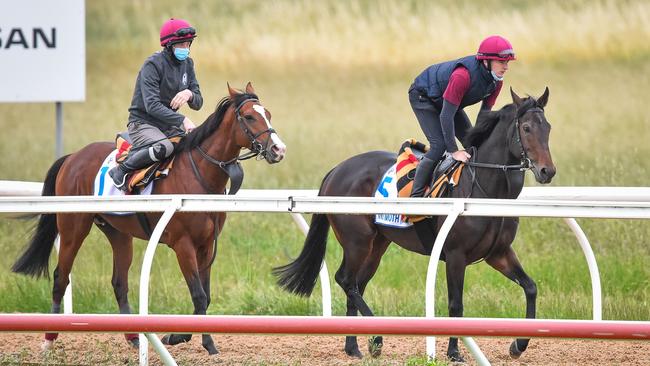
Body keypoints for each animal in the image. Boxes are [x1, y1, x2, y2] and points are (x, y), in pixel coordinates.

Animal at [11, 83, 284, 354]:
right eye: (249, 116)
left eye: (268, 114)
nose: (278, 149)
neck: (198, 176)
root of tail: (72, 157)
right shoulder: (183, 244)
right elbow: (198, 294)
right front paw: (180, 337)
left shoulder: (206, 245)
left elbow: (205, 295)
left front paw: (204, 343)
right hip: (72, 228)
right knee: (61, 277)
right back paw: (49, 339)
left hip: (118, 233)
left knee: (119, 282)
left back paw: (133, 337)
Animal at [274, 88, 552, 360]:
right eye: (526, 128)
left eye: (548, 127)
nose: (548, 171)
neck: (485, 191)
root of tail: (336, 170)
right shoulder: (456, 255)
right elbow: (456, 304)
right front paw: (453, 352)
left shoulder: (498, 253)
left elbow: (531, 287)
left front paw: (519, 344)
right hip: (357, 241)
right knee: (345, 279)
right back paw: (376, 338)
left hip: (377, 245)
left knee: (356, 284)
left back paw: (354, 346)